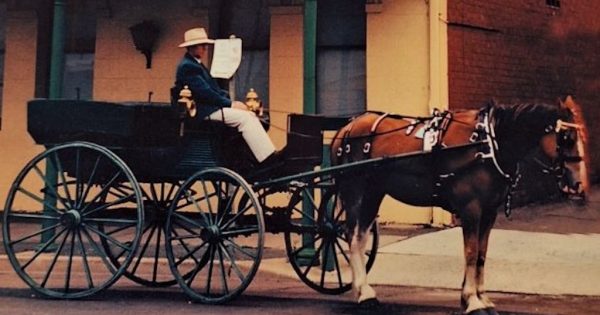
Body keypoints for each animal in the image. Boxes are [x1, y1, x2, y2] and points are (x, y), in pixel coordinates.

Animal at [330, 96, 588, 315]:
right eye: (566, 138)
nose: (578, 183)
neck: (487, 145)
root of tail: (346, 128)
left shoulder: (489, 211)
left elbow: (482, 253)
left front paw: (482, 298)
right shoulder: (471, 208)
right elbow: (471, 253)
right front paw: (472, 301)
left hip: (374, 192)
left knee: (360, 236)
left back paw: (365, 291)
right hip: (355, 190)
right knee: (352, 237)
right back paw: (364, 293)